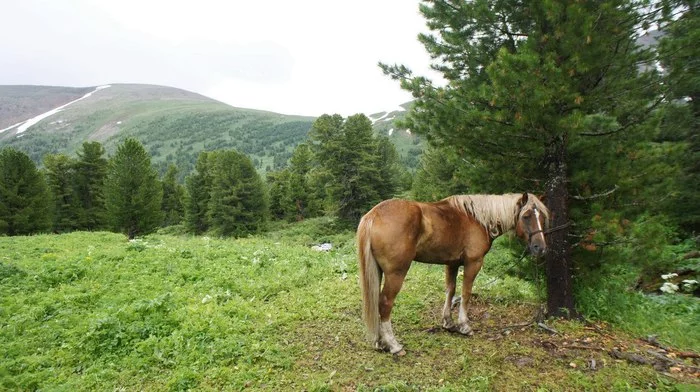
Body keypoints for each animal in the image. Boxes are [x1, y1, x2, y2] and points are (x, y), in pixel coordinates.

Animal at [358, 193, 548, 356]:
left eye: (542, 217)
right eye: (526, 216)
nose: (540, 248)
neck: (477, 219)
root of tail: (374, 215)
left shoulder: (452, 263)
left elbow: (450, 290)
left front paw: (448, 323)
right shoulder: (473, 263)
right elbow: (466, 293)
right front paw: (464, 326)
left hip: (378, 272)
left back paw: (380, 342)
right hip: (396, 273)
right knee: (385, 303)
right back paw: (394, 345)